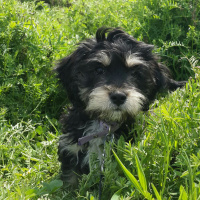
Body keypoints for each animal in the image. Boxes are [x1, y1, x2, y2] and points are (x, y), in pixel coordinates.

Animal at [55, 27, 186, 186]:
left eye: (135, 73)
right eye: (99, 70)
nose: (118, 96)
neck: (104, 124)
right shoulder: (71, 150)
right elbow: (69, 181)